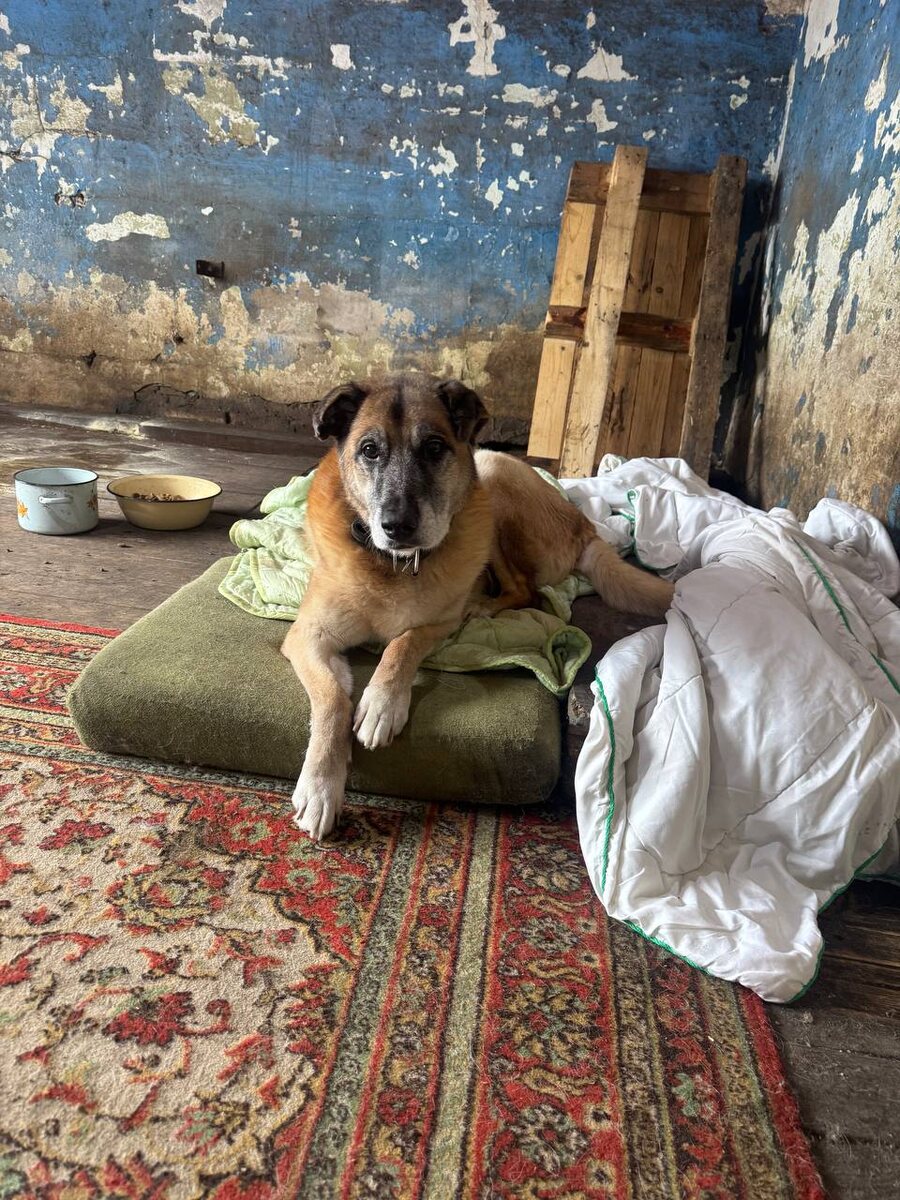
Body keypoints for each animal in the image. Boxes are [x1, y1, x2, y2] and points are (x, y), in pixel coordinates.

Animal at [281, 373, 674, 840]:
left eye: (434, 448)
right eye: (369, 450)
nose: (397, 526)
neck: (393, 566)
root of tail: (585, 525)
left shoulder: (438, 622)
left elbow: (402, 644)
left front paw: (381, 702)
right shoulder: (307, 637)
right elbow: (331, 700)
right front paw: (321, 784)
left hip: (491, 484)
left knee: (527, 590)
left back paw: (484, 608)